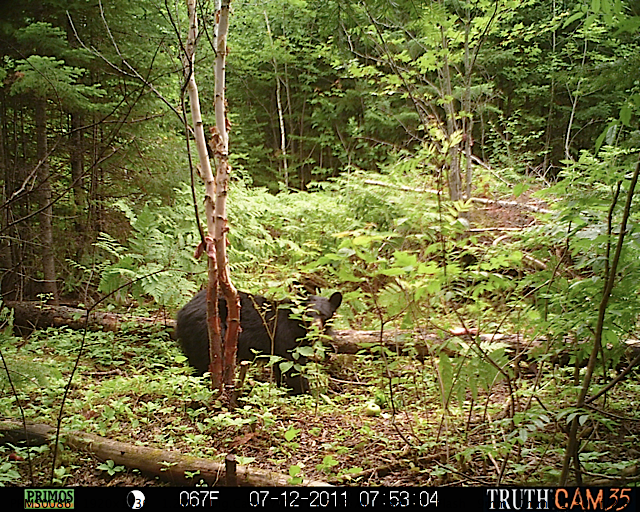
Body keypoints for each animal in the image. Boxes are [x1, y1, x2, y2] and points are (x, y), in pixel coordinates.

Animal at [175, 290, 340, 394]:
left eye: (324, 314)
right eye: (308, 314)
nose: (315, 329)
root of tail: (182, 311)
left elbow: (281, 368)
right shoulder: (286, 338)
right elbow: (294, 367)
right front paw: (304, 392)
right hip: (206, 332)